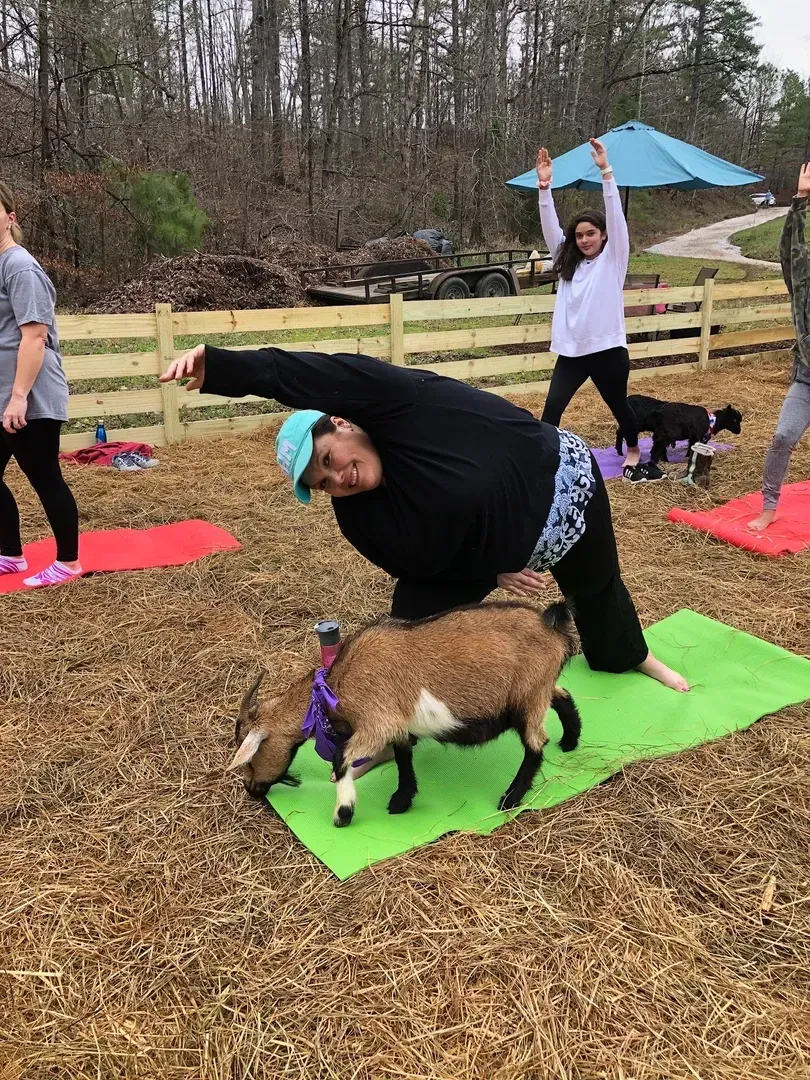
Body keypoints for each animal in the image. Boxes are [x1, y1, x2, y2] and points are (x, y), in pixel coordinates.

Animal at [229, 601, 582, 827]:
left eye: (250, 756)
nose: (251, 789)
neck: (336, 685)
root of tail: (552, 625)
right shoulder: (397, 724)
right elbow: (402, 757)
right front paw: (402, 800)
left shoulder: (377, 722)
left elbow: (342, 759)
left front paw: (343, 813)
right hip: (536, 688)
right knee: (562, 696)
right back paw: (570, 741)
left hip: (528, 697)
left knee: (536, 743)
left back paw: (511, 797)